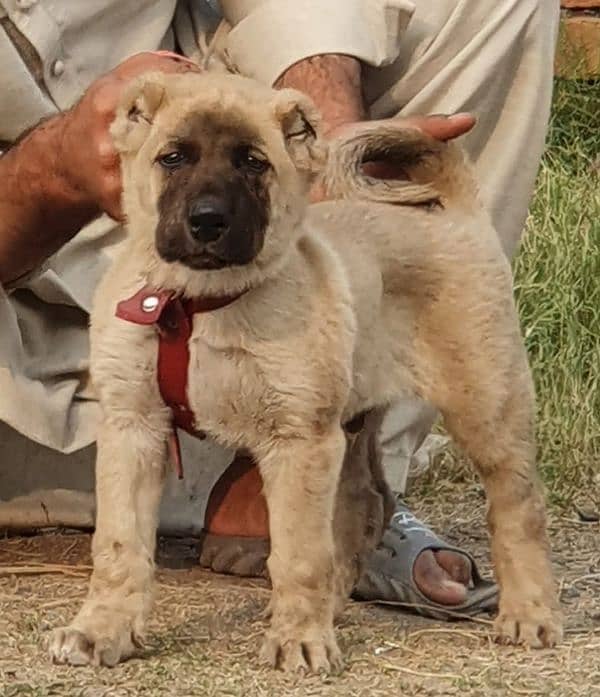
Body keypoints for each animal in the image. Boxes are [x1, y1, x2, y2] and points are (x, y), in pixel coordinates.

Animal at [49, 69, 560, 668]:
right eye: (172, 158)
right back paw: (333, 607)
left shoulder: (297, 440)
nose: (207, 222)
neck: (198, 304)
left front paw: (299, 638)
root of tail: (456, 211)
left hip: (486, 405)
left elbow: (297, 553)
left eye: (253, 163)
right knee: (365, 502)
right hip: (353, 423)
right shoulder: (134, 427)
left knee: (518, 508)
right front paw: (102, 629)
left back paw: (529, 614)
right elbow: (118, 545)